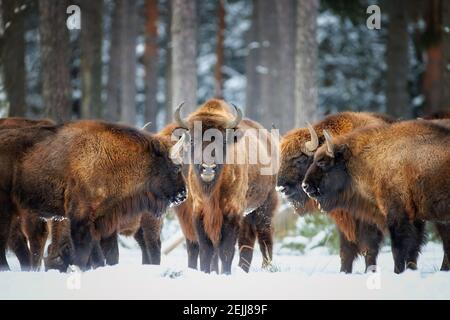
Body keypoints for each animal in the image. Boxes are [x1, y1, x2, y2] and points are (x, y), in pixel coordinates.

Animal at [171, 99, 280, 274]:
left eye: (222, 140)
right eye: (192, 140)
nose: (208, 168)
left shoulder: (232, 212)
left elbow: (226, 250)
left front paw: (225, 273)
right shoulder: (199, 213)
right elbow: (207, 249)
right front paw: (207, 272)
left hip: (264, 207)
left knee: (264, 238)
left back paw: (267, 268)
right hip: (247, 214)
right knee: (247, 241)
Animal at [278, 112, 400, 272]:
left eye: (299, 159)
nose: (281, 188)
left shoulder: (367, 220)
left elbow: (368, 248)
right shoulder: (344, 219)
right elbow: (345, 251)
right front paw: (344, 272)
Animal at [302, 120, 450, 272]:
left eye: (323, 162)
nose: (305, 186)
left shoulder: (397, 215)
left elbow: (398, 249)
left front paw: (398, 272)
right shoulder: (415, 218)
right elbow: (412, 250)